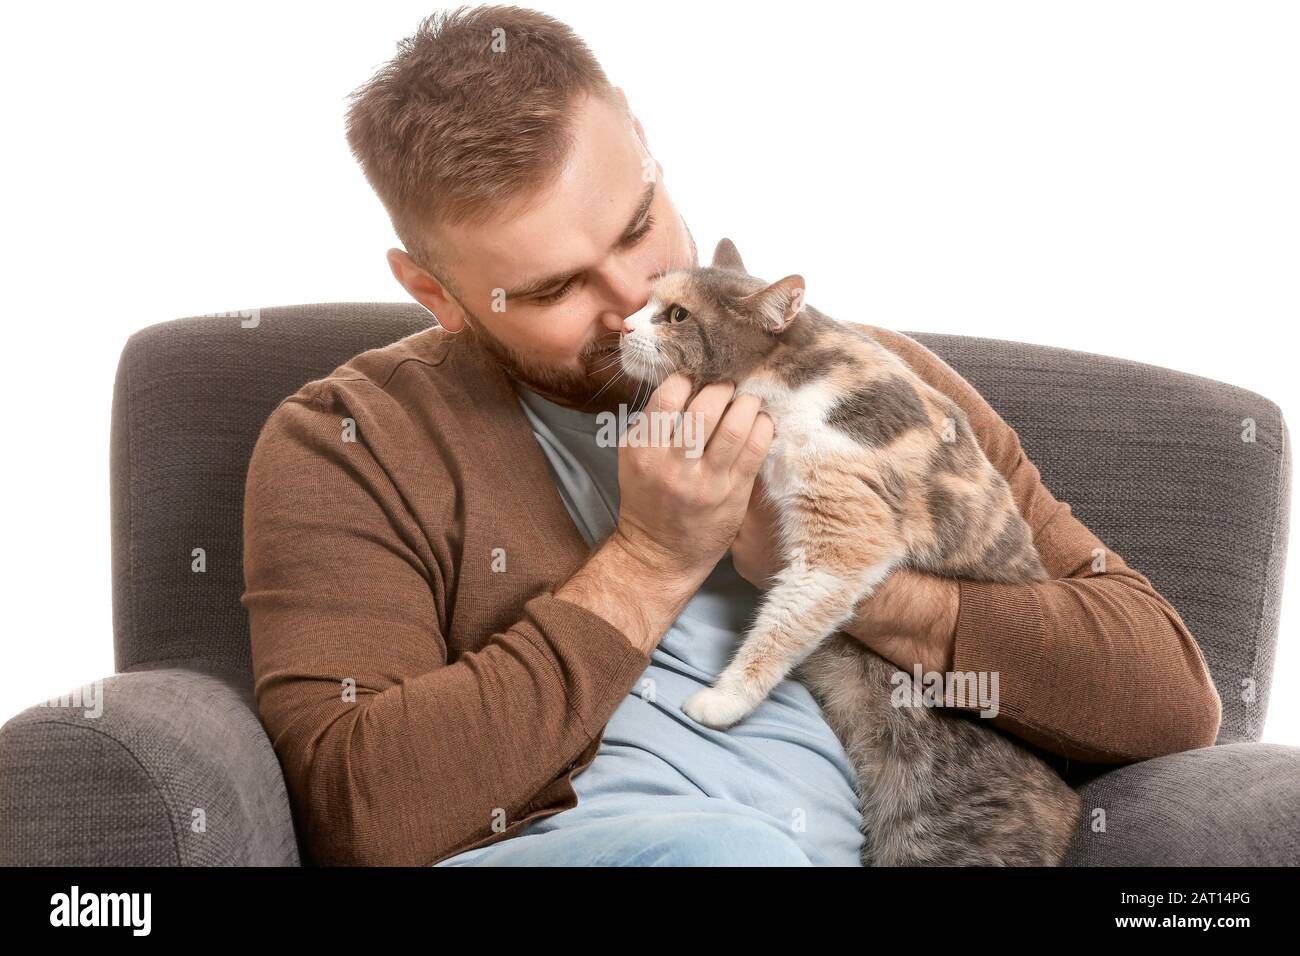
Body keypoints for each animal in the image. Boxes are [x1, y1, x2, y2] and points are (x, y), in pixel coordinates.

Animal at [613, 239, 1081, 868]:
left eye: (678, 315)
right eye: (647, 302)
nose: (622, 325)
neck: (787, 379)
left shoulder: (844, 532)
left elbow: (782, 626)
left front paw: (724, 700)